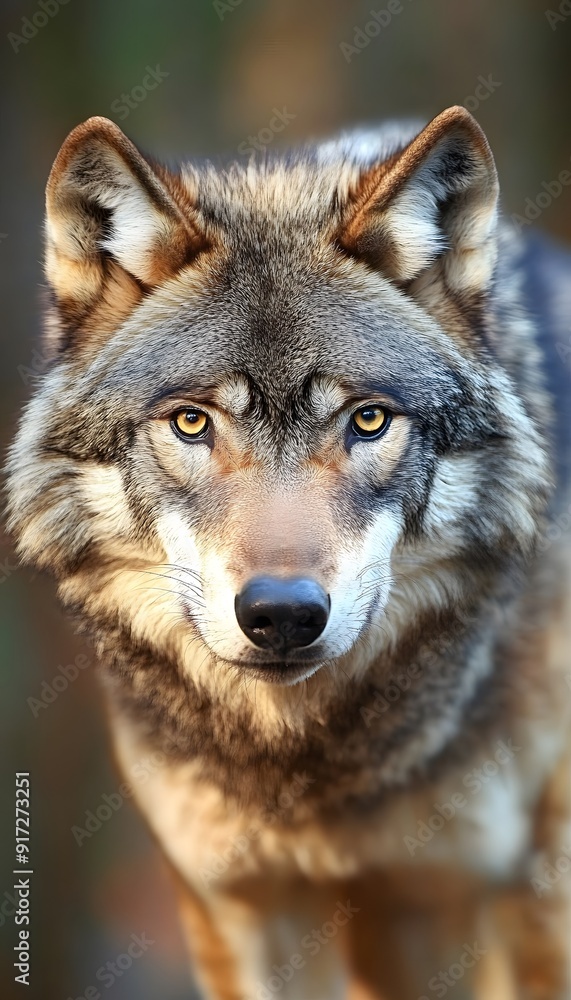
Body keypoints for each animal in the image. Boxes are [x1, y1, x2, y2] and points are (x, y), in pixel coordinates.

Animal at [6, 106, 571, 998]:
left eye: (367, 420)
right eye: (192, 422)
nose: (281, 615)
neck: (305, 773)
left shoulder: (496, 897)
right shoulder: (235, 909)